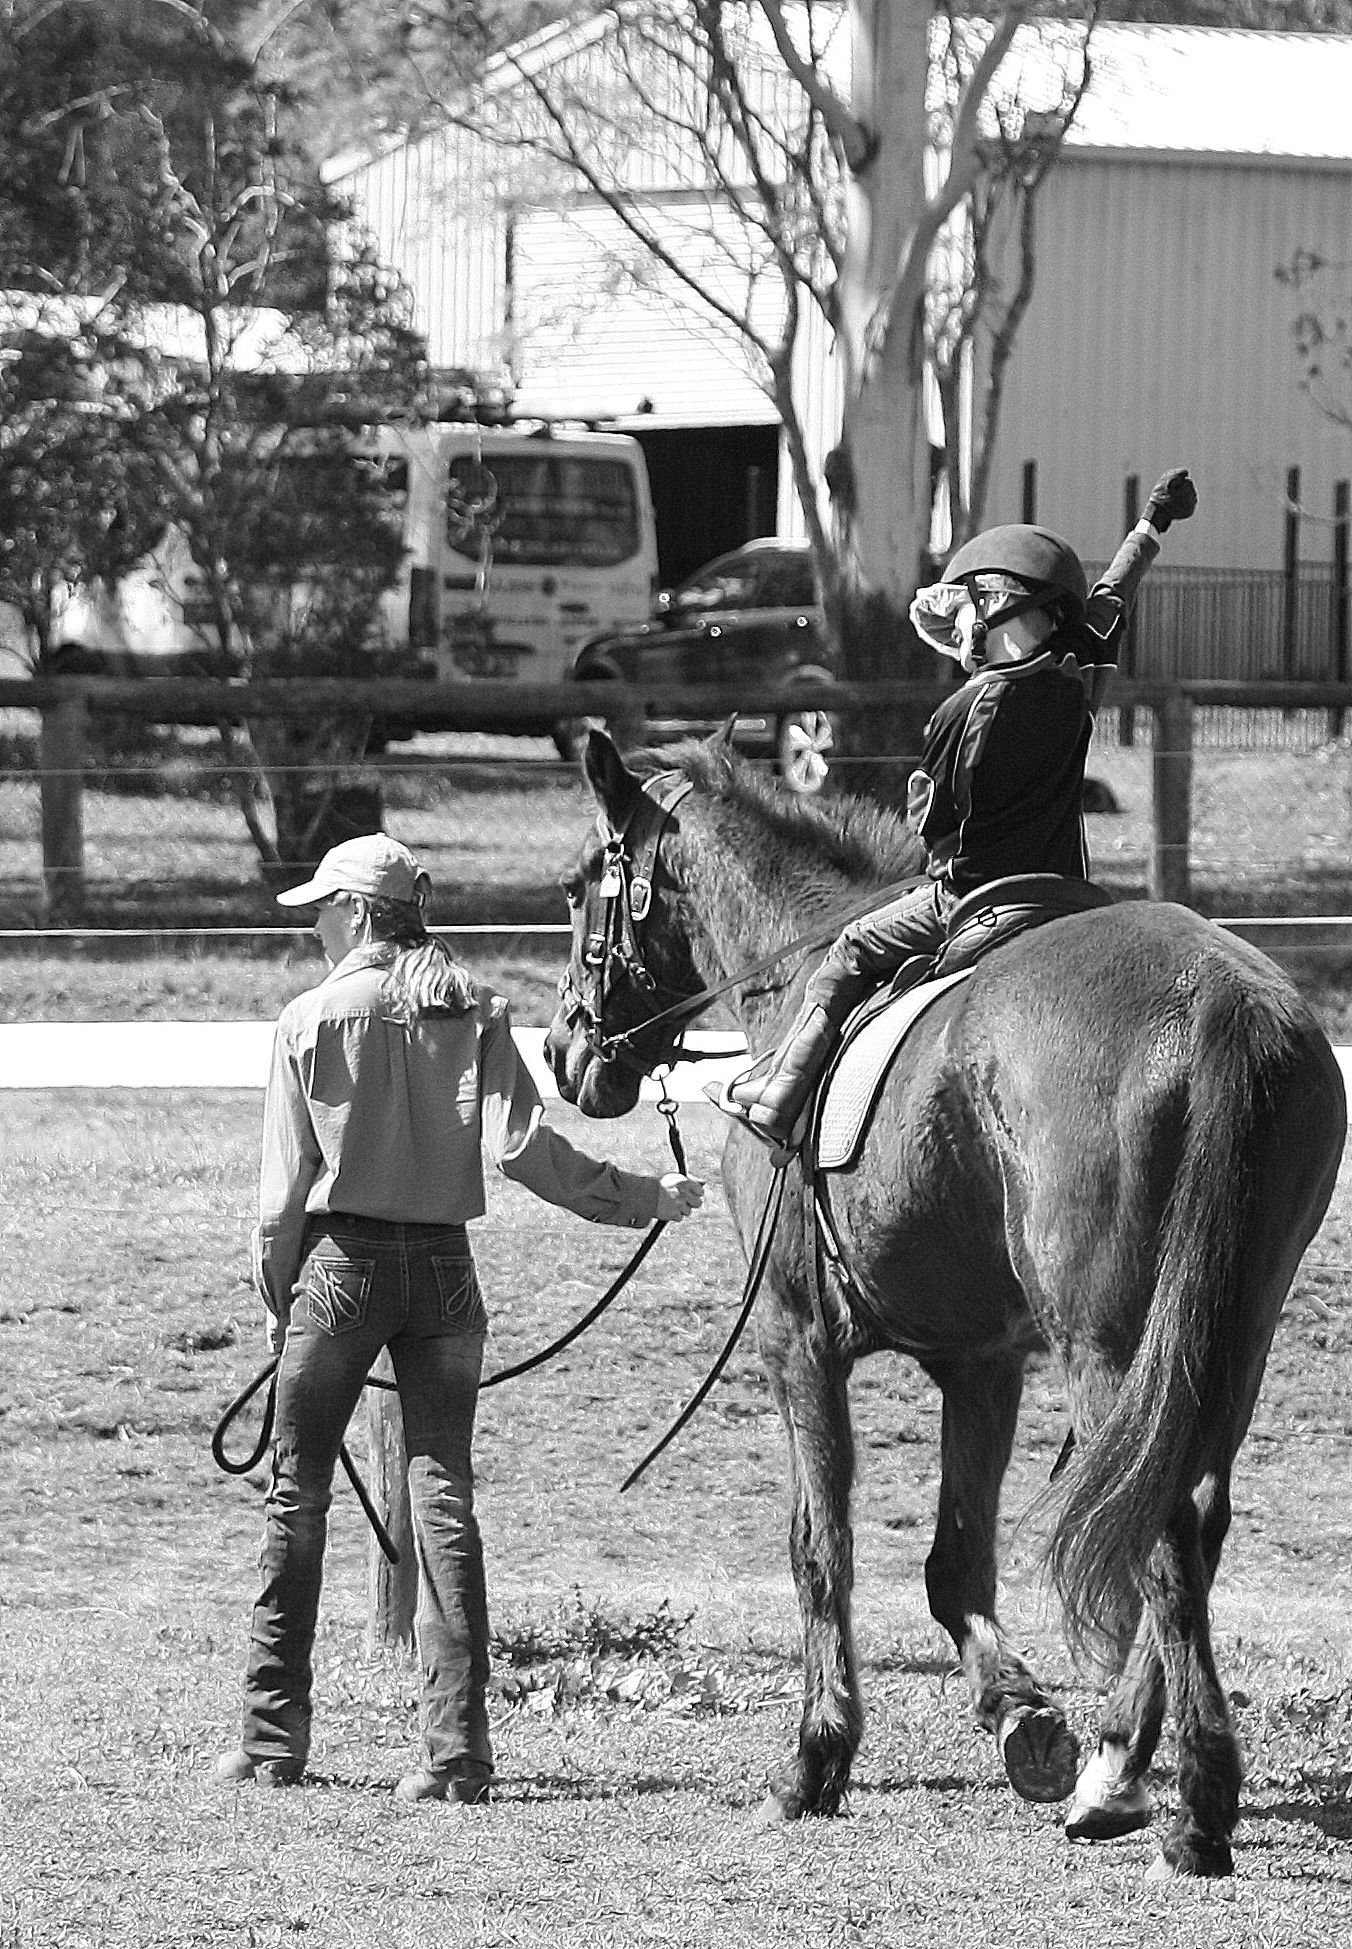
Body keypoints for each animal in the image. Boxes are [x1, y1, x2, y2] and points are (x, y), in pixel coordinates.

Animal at [544, 728, 1346, 1879]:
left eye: (579, 888)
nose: (565, 1053)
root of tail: (1221, 1003)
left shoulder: (795, 1336)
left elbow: (819, 1544)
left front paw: (816, 1758)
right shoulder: (982, 1361)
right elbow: (953, 1558)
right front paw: (1021, 1713)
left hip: (1108, 1346)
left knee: (1156, 1529)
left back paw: (1191, 1803)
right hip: (1226, 1337)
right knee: (1188, 1511)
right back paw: (1119, 1762)